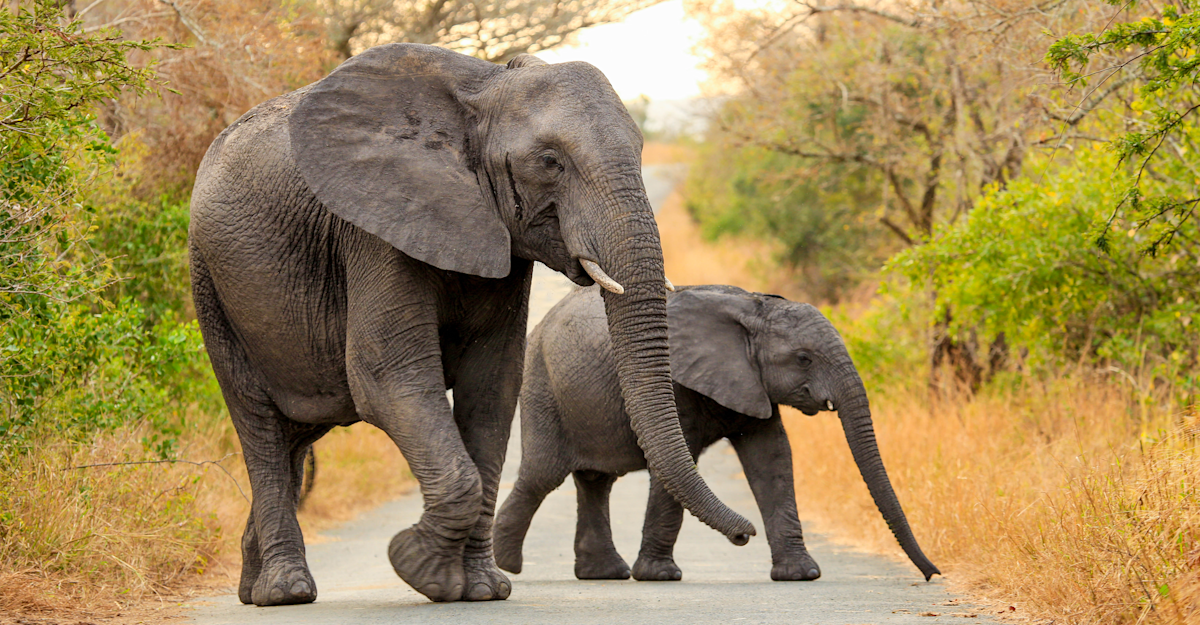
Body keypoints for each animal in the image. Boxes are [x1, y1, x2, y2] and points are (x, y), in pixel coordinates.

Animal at [187, 43, 755, 607]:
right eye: (551, 162)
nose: (746, 535)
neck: (484, 92)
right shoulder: (375, 228)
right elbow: (386, 378)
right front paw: (416, 566)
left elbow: (493, 387)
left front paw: (481, 589)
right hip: (210, 283)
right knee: (259, 422)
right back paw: (286, 591)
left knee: (297, 434)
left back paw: (252, 587)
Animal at [493, 285, 940, 583]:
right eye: (803, 359)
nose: (932, 574)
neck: (753, 310)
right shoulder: (676, 382)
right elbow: (679, 459)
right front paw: (660, 576)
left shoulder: (752, 382)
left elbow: (772, 459)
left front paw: (802, 574)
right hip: (541, 384)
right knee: (541, 476)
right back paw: (507, 565)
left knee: (595, 482)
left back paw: (604, 573)